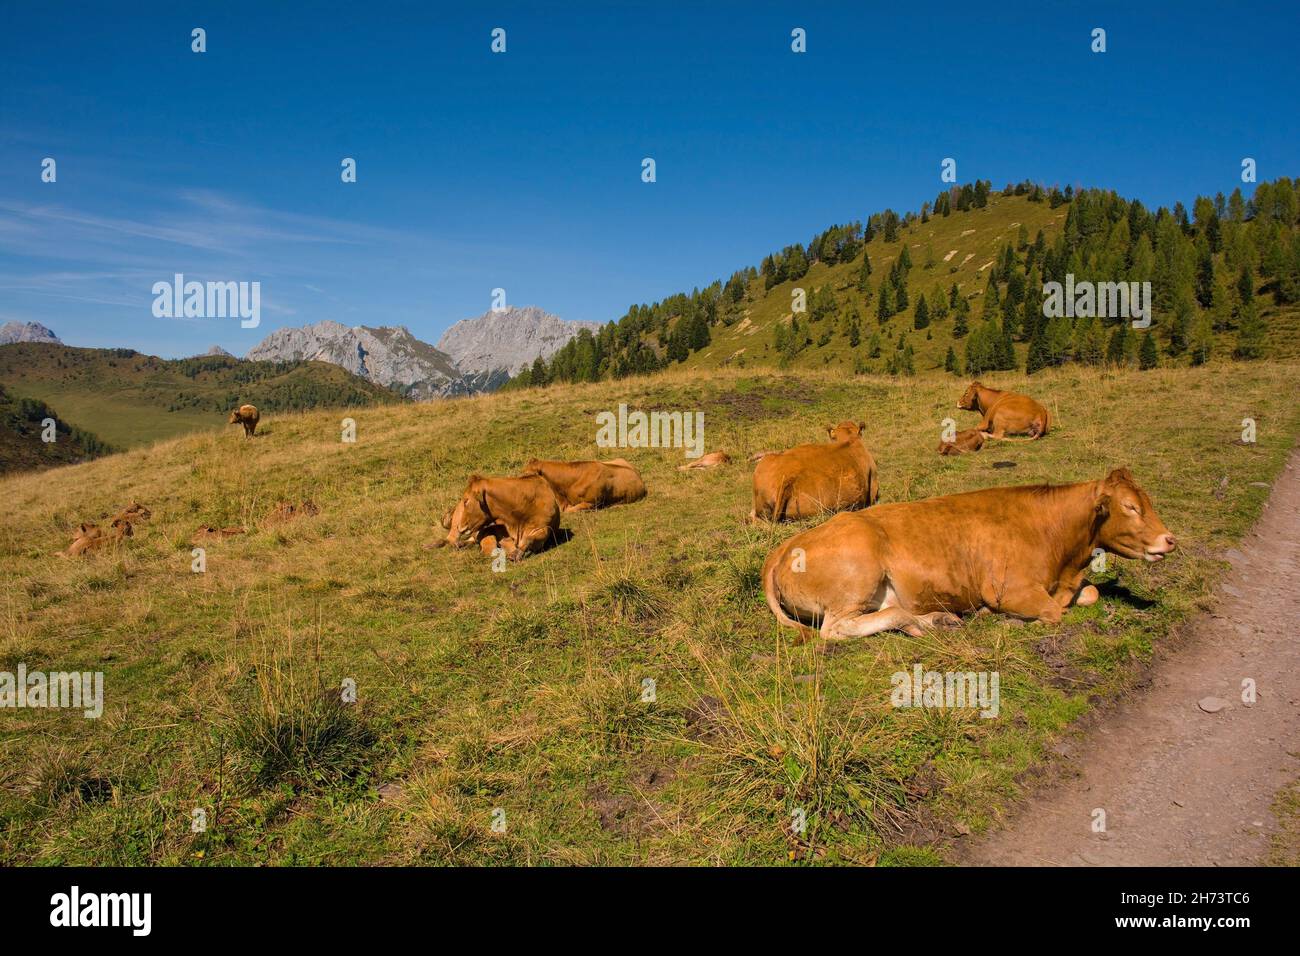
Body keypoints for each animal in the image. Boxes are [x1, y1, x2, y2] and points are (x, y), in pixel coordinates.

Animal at [759, 468, 1180, 639]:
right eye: (1130, 507)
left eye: (1146, 500)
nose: (1169, 540)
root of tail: (781, 549)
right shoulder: (1009, 590)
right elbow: (1052, 613)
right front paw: (1005, 620)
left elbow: (1089, 594)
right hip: (857, 575)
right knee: (837, 629)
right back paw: (921, 622)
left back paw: (935, 620)